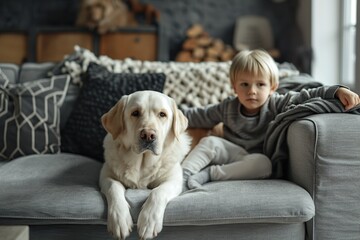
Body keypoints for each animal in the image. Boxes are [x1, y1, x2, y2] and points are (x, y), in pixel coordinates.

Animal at [98, 90, 191, 240]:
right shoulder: (105, 175)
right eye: (135, 113)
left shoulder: (174, 180)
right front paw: (119, 220)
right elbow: (114, 187)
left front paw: (149, 221)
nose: (148, 135)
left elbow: (158, 191)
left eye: (162, 114)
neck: (142, 162)